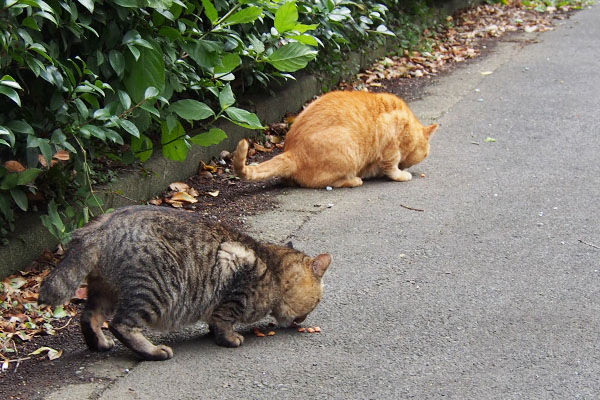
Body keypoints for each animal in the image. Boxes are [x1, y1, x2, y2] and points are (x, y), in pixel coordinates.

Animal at [38, 205, 332, 360]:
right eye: (317, 301)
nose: (303, 320)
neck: (272, 266)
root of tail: (100, 228)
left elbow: (215, 320)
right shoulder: (234, 277)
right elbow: (224, 319)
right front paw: (229, 338)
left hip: (104, 291)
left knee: (90, 317)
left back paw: (99, 343)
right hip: (155, 290)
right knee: (121, 325)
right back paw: (153, 351)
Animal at [233, 91, 436, 188]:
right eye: (426, 154)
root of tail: (292, 151)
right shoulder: (390, 146)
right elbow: (392, 166)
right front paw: (401, 174)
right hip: (347, 155)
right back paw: (354, 180)